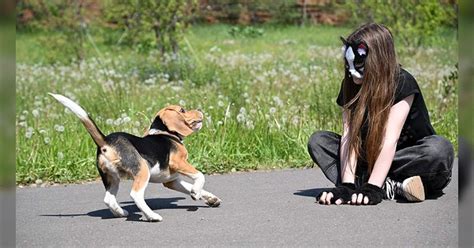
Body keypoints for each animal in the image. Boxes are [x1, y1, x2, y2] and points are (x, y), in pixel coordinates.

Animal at [51, 93, 221, 221]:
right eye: (183, 110)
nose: (199, 109)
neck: (165, 133)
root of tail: (106, 141)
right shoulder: (178, 162)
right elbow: (200, 176)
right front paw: (196, 193)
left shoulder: (171, 180)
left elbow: (191, 186)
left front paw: (210, 198)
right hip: (142, 170)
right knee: (136, 195)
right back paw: (152, 216)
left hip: (111, 177)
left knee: (108, 199)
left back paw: (121, 213)